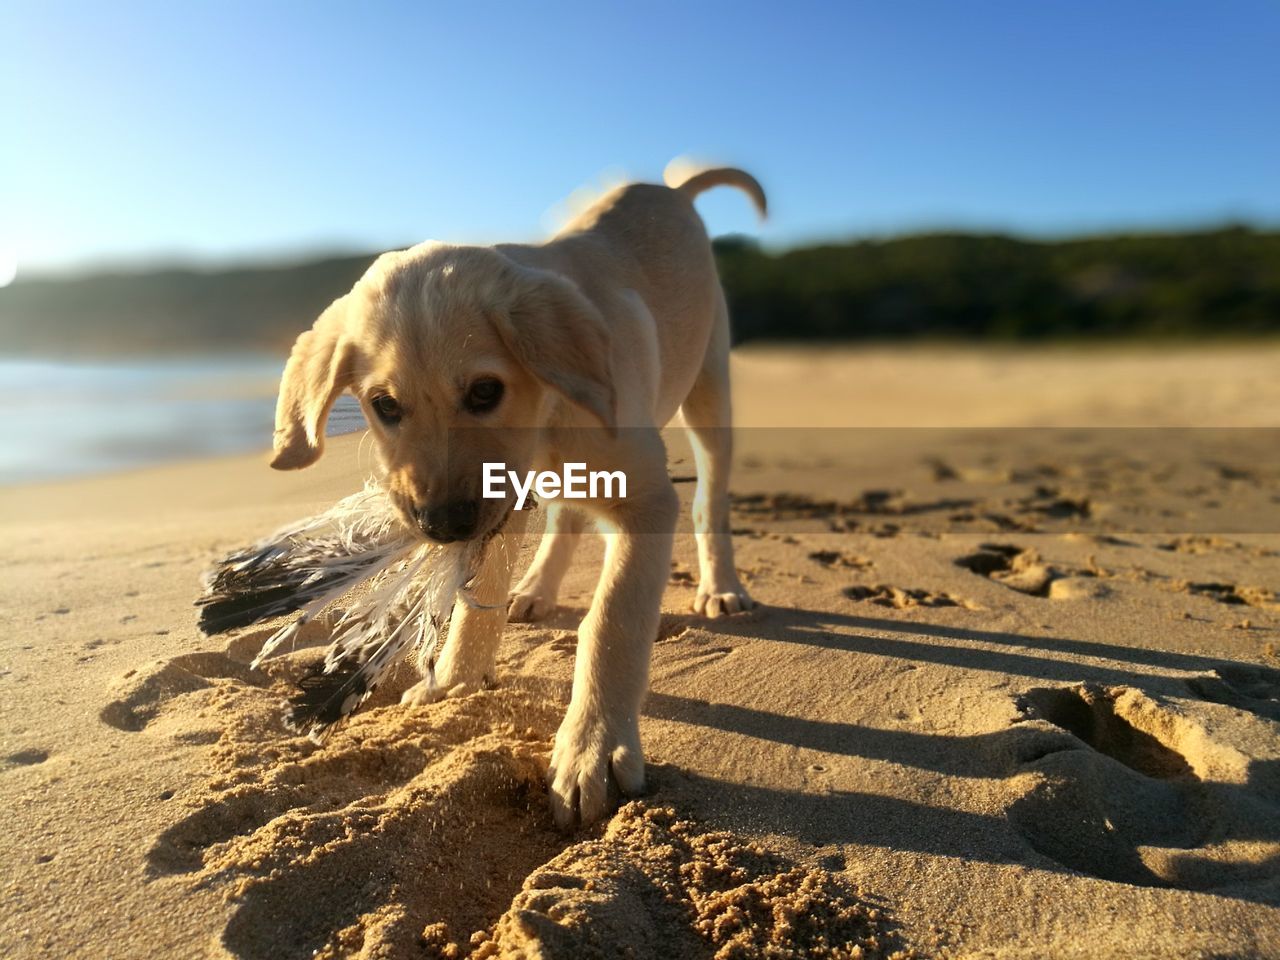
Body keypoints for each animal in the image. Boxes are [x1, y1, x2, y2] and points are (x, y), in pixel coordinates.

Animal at [272, 163, 757, 829]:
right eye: (384, 405)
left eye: (485, 391)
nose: (440, 525)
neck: (549, 413)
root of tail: (670, 189)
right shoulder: (498, 502)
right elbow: (479, 599)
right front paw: (454, 681)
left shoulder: (645, 500)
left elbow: (613, 620)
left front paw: (592, 748)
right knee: (566, 519)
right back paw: (536, 590)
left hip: (711, 387)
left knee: (711, 495)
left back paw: (721, 586)